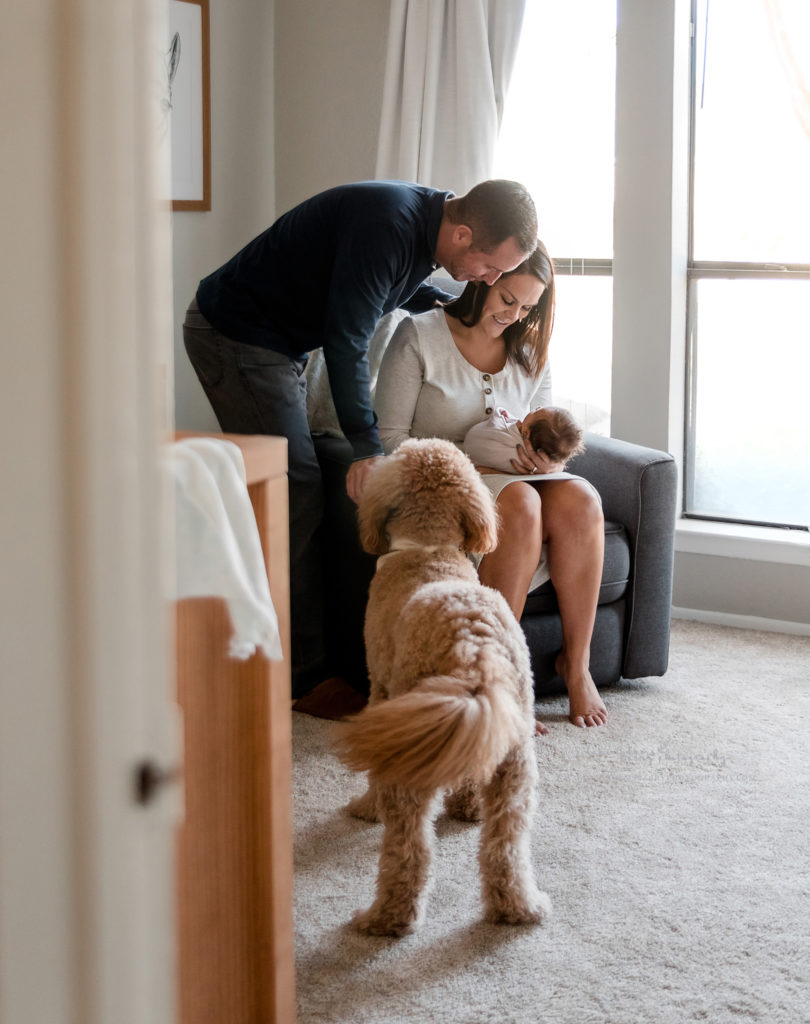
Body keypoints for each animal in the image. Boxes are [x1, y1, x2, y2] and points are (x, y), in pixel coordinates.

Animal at [331, 436, 552, 933]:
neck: (429, 550)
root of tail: (475, 650)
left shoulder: (383, 692)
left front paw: (366, 806)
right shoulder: (460, 728)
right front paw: (466, 806)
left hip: (411, 759)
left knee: (410, 849)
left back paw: (385, 918)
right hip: (514, 766)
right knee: (505, 846)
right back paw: (517, 907)